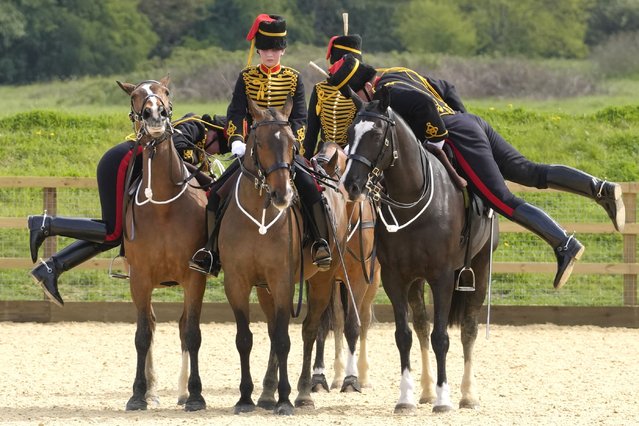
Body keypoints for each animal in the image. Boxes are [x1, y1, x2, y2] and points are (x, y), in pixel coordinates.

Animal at [116, 77, 209, 412]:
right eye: (134, 96)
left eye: (166, 92)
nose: (154, 113)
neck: (164, 206)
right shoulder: (141, 279)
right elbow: (143, 334)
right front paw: (137, 394)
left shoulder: (195, 277)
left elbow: (192, 333)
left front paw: (195, 394)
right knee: (152, 325)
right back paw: (151, 390)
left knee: (183, 328)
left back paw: (182, 391)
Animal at [219, 97, 350, 416]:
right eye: (259, 143)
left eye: (292, 143)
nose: (283, 195)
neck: (260, 216)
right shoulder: (237, 283)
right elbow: (246, 338)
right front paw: (245, 398)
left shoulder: (282, 281)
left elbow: (284, 339)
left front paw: (285, 399)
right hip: (265, 289)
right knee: (271, 328)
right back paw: (267, 392)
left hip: (322, 279)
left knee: (308, 330)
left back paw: (303, 392)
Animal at [308, 142, 380, 392]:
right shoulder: (322, 278)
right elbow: (322, 325)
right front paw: (318, 377)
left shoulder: (359, 278)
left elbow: (353, 326)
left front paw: (351, 379)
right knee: (338, 319)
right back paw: (338, 374)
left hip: (373, 280)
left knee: (364, 318)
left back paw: (363, 375)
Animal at [342, 89, 498, 412]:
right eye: (350, 132)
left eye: (376, 134)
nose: (350, 183)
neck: (411, 199)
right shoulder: (395, 278)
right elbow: (405, 335)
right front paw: (406, 397)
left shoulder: (443, 277)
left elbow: (442, 338)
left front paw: (444, 398)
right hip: (415, 280)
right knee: (422, 326)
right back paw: (425, 391)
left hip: (479, 267)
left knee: (468, 328)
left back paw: (467, 394)